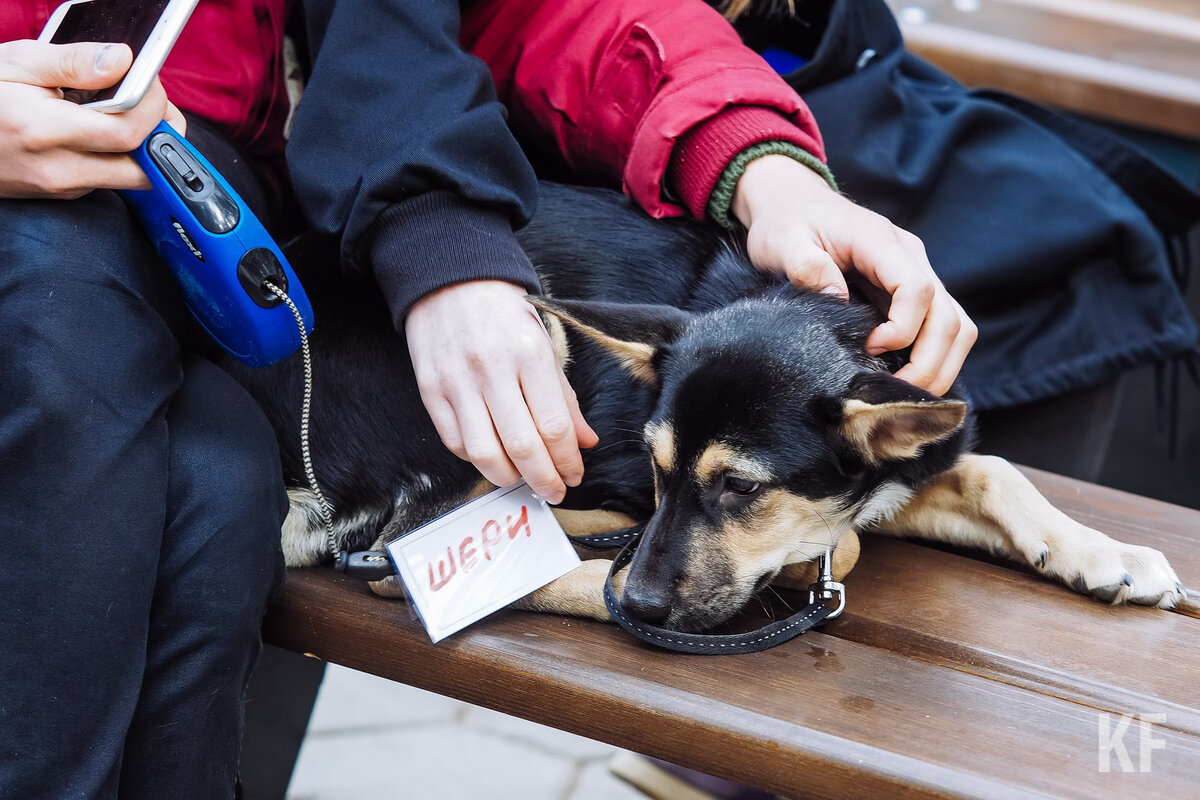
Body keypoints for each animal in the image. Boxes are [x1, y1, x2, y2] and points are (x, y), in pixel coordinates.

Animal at [226, 183, 1190, 638]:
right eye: (657, 467)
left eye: (741, 489)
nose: (651, 603)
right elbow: (840, 543)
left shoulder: (910, 454)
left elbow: (992, 471)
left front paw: (1108, 556)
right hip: (513, 357)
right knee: (415, 552)